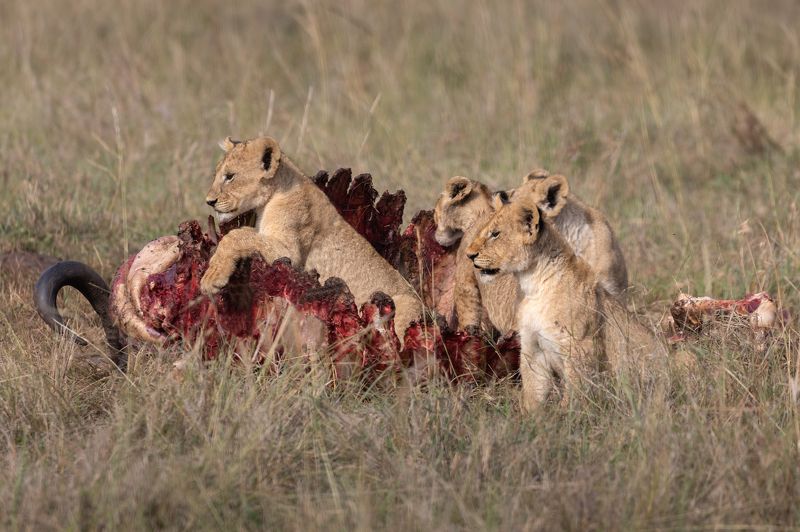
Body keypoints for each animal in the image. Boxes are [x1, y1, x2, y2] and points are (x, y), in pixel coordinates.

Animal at [199, 136, 423, 339]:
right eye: (217, 175)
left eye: (230, 176)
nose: (209, 201)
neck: (274, 193)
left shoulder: (288, 255)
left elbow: (237, 234)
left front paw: (212, 278)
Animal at [465, 178, 665, 411]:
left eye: (495, 234)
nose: (469, 255)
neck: (532, 284)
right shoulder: (532, 347)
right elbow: (533, 392)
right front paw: (530, 418)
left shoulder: (581, 346)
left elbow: (576, 391)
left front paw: (567, 414)